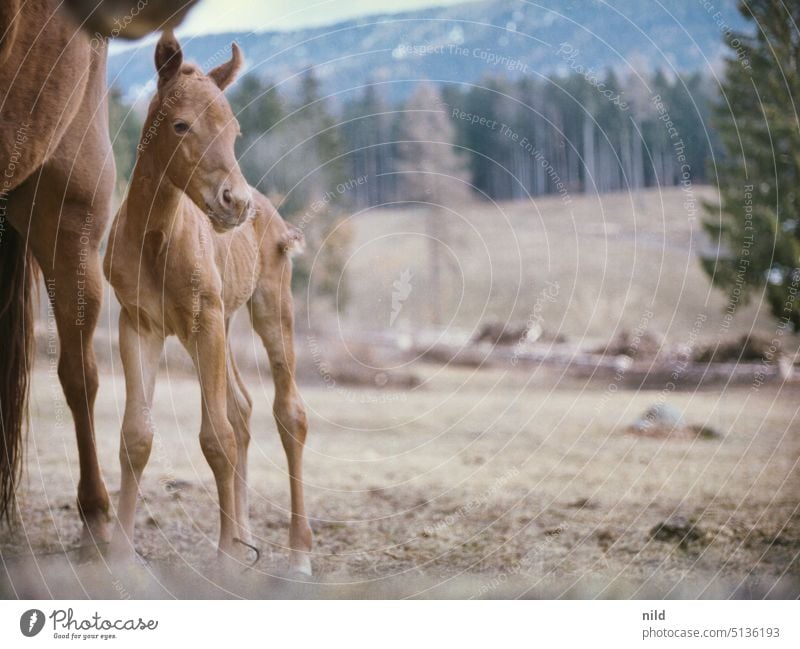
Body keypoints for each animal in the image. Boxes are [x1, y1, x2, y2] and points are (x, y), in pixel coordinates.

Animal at [105, 33, 316, 576]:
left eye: (235, 129)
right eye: (181, 125)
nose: (234, 204)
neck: (157, 238)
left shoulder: (207, 320)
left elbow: (215, 438)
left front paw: (223, 559)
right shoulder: (139, 324)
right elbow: (136, 435)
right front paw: (119, 555)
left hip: (268, 308)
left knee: (288, 413)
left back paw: (298, 555)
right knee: (242, 408)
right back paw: (247, 543)